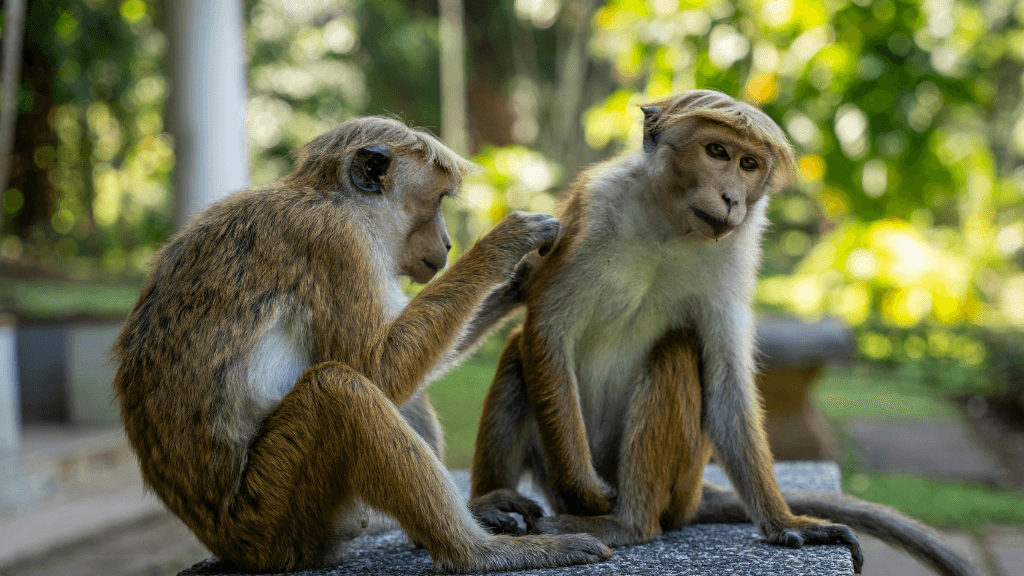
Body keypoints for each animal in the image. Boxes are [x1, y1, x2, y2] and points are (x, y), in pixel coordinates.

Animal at [112, 116, 613, 573]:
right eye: (436, 201)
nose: (450, 243)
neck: (332, 198)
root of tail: (227, 544)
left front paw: (522, 278)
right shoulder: (336, 241)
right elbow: (375, 367)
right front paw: (503, 245)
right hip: (272, 516)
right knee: (339, 390)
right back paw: (476, 553)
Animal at [468, 90, 977, 576]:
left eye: (748, 164)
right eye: (717, 151)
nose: (732, 198)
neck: (668, 224)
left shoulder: (738, 248)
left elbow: (727, 379)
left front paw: (785, 522)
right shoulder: (592, 210)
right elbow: (548, 329)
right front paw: (583, 488)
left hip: (681, 486)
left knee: (675, 351)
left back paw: (629, 524)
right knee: (518, 352)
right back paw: (494, 505)